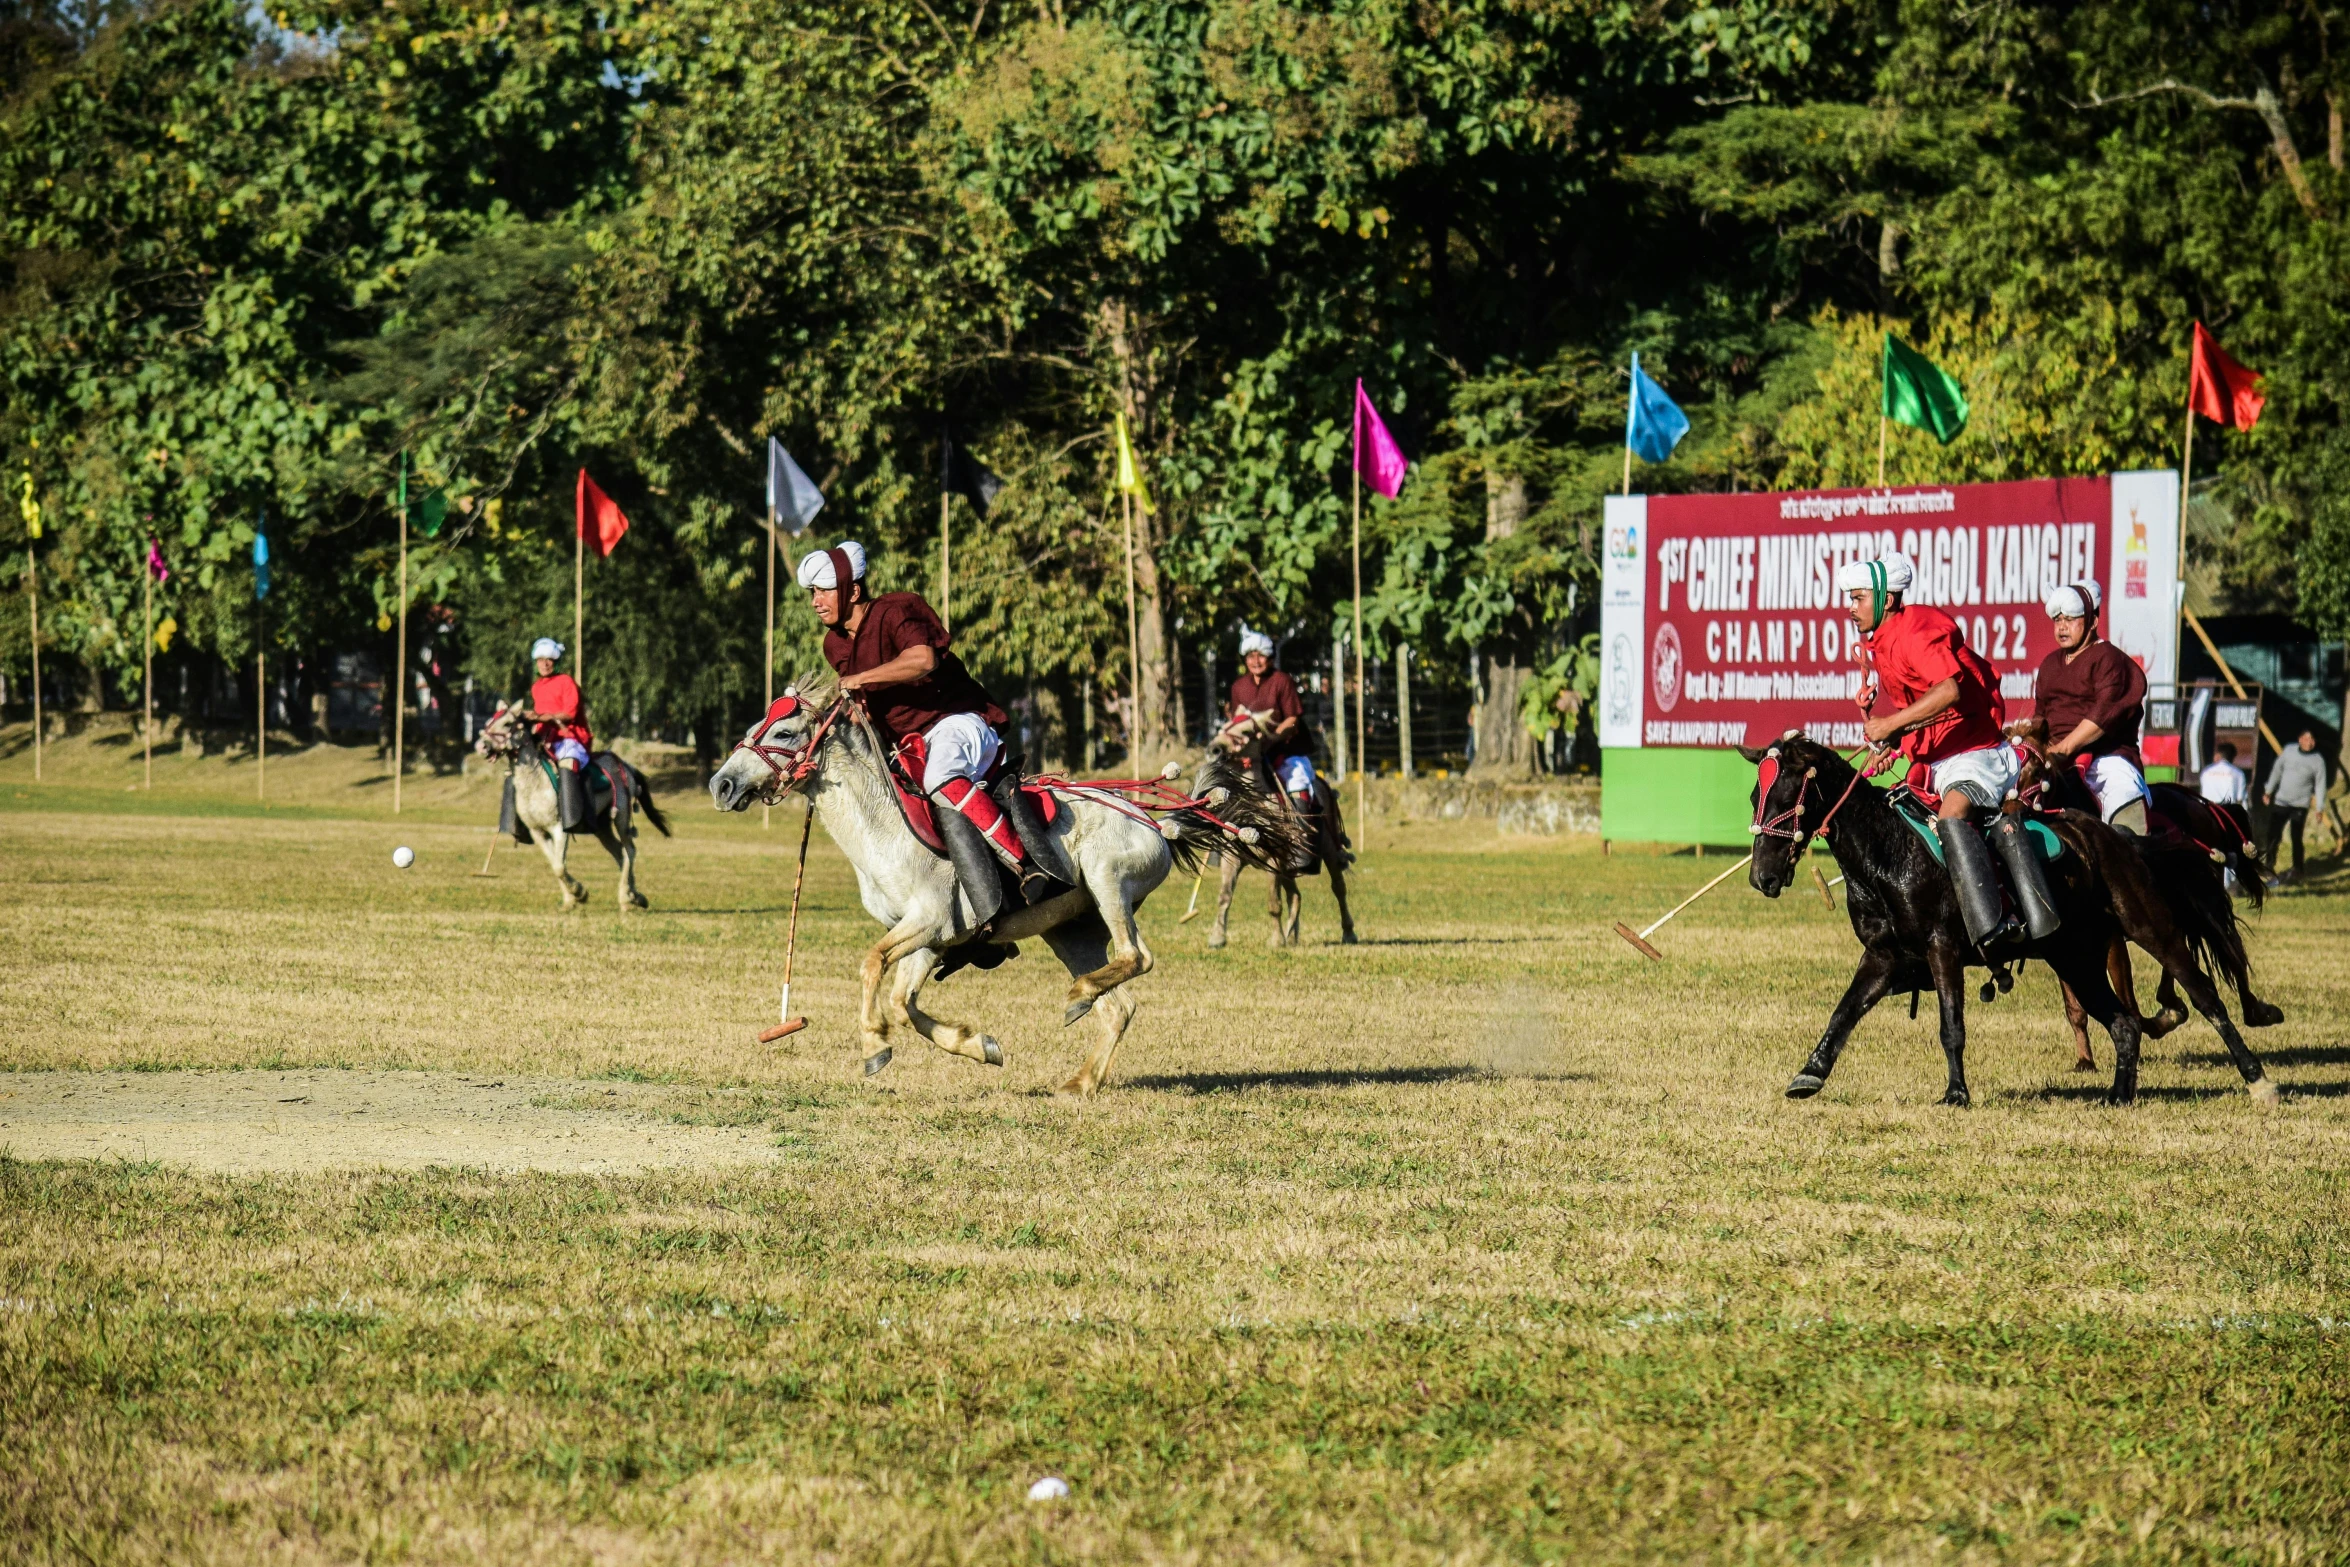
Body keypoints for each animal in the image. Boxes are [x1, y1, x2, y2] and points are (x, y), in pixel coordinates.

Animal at [714, 681, 1306, 1099]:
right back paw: (1080, 1075)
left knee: (1137, 956)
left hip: (1107, 880)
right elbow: (904, 1003)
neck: (884, 829)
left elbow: (871, 964)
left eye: (784, 733)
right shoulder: (927, 938)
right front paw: (980, 1046)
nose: (722, 784)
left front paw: (873, 1044)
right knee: (1120, 1006)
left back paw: (1077, 998)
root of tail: (1157, 822)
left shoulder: (929, 921)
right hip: (1071, 930)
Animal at [1748, 732, 2274, 1108]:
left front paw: (1956, 1093)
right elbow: (1844, 1013)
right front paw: (1810, 1072)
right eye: (1756, 794)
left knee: (2205, 997)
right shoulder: (1883, 957)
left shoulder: (1942, 950)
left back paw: (2257, 1079)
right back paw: (2119, 1095)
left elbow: (1951, 1026)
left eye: (1789, 797)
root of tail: (2118, 838)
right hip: (2074, 958)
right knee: (2124, 1024)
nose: (1761, 876)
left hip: (2149, 927)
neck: (1888, 853)